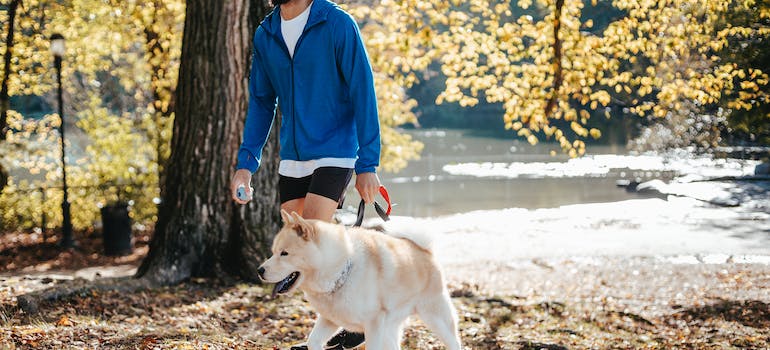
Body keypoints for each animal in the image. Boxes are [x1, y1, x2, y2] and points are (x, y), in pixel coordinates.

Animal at [258, 211, 462, 350]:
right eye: (273, 252)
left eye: (284, 253)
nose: (260, 270)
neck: (341, 270)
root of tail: (424, 251)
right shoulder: (330, 320)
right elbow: (313, 341)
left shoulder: (373, 324)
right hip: (390, 329)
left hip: (437, 318)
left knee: (455, 343)